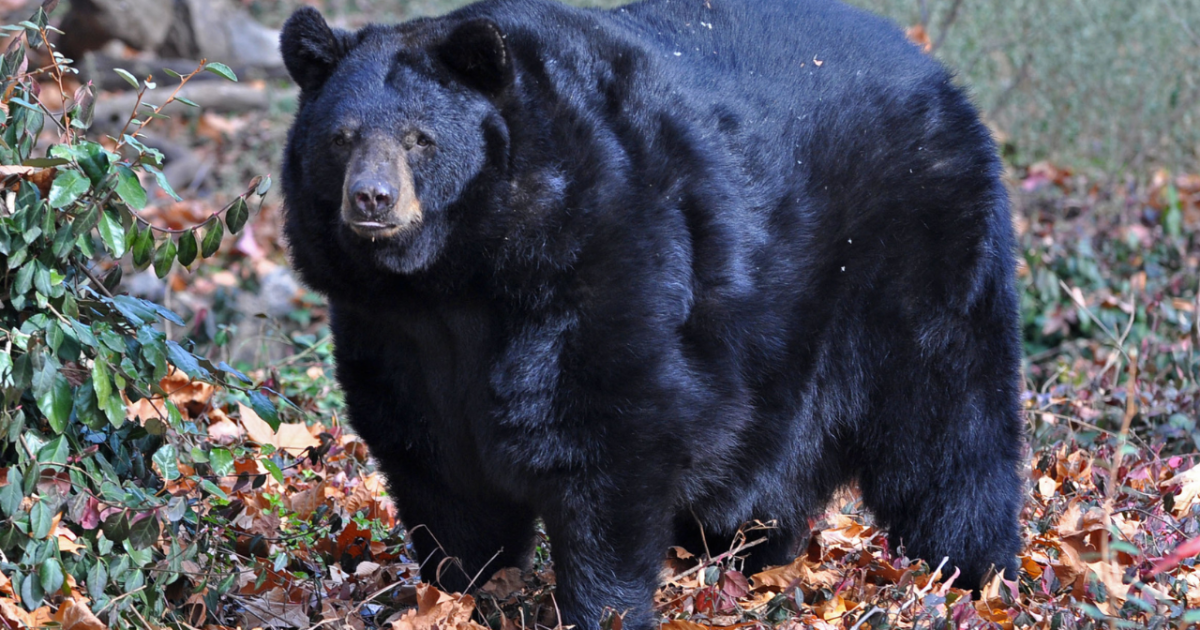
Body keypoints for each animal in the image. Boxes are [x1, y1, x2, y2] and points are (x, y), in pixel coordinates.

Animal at [278, 1, 1026, 629]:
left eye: (419, 138)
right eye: (341, 137)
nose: (371, 199)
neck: (458, 278)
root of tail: (940, 75)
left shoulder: (601, 261)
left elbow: (608, 445)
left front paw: (599, 609)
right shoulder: (392, 334)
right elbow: (440, 471)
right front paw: (463, 593)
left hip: (922, 261)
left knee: (951, 437)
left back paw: (975, 577)